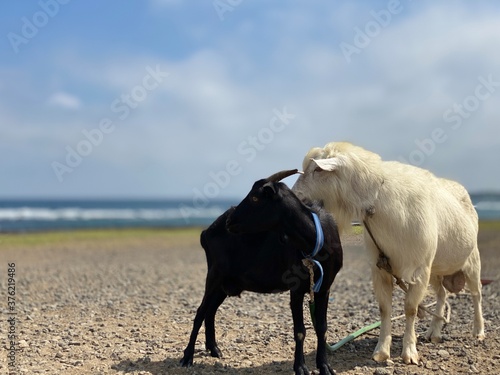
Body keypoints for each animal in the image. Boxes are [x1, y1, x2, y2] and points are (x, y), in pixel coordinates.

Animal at [181, 170, 344, 375]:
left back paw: (214, 349)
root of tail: (207, 231)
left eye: (255, 197)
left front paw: (324, 366)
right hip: (214, 275)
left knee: (210, 312)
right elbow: (300, 330)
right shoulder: (296, 289)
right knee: (200, 312)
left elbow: (322, 328)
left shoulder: (325, 287)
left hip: (225, 284)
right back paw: (187, 357)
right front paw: (300, 367)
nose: (230, 221)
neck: (315, 240)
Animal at [292, 141, 484, 364]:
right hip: (435, 268)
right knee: (442, 294)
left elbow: (410, 309)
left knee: (476, 294)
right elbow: (385, 309)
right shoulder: (381, 268)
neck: (377, 199)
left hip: (471, 260)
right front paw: (381, 351)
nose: (296, 196)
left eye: (317, 170)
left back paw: (478, 331)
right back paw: (433, 333)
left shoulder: (419, 270)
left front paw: (409, 352)